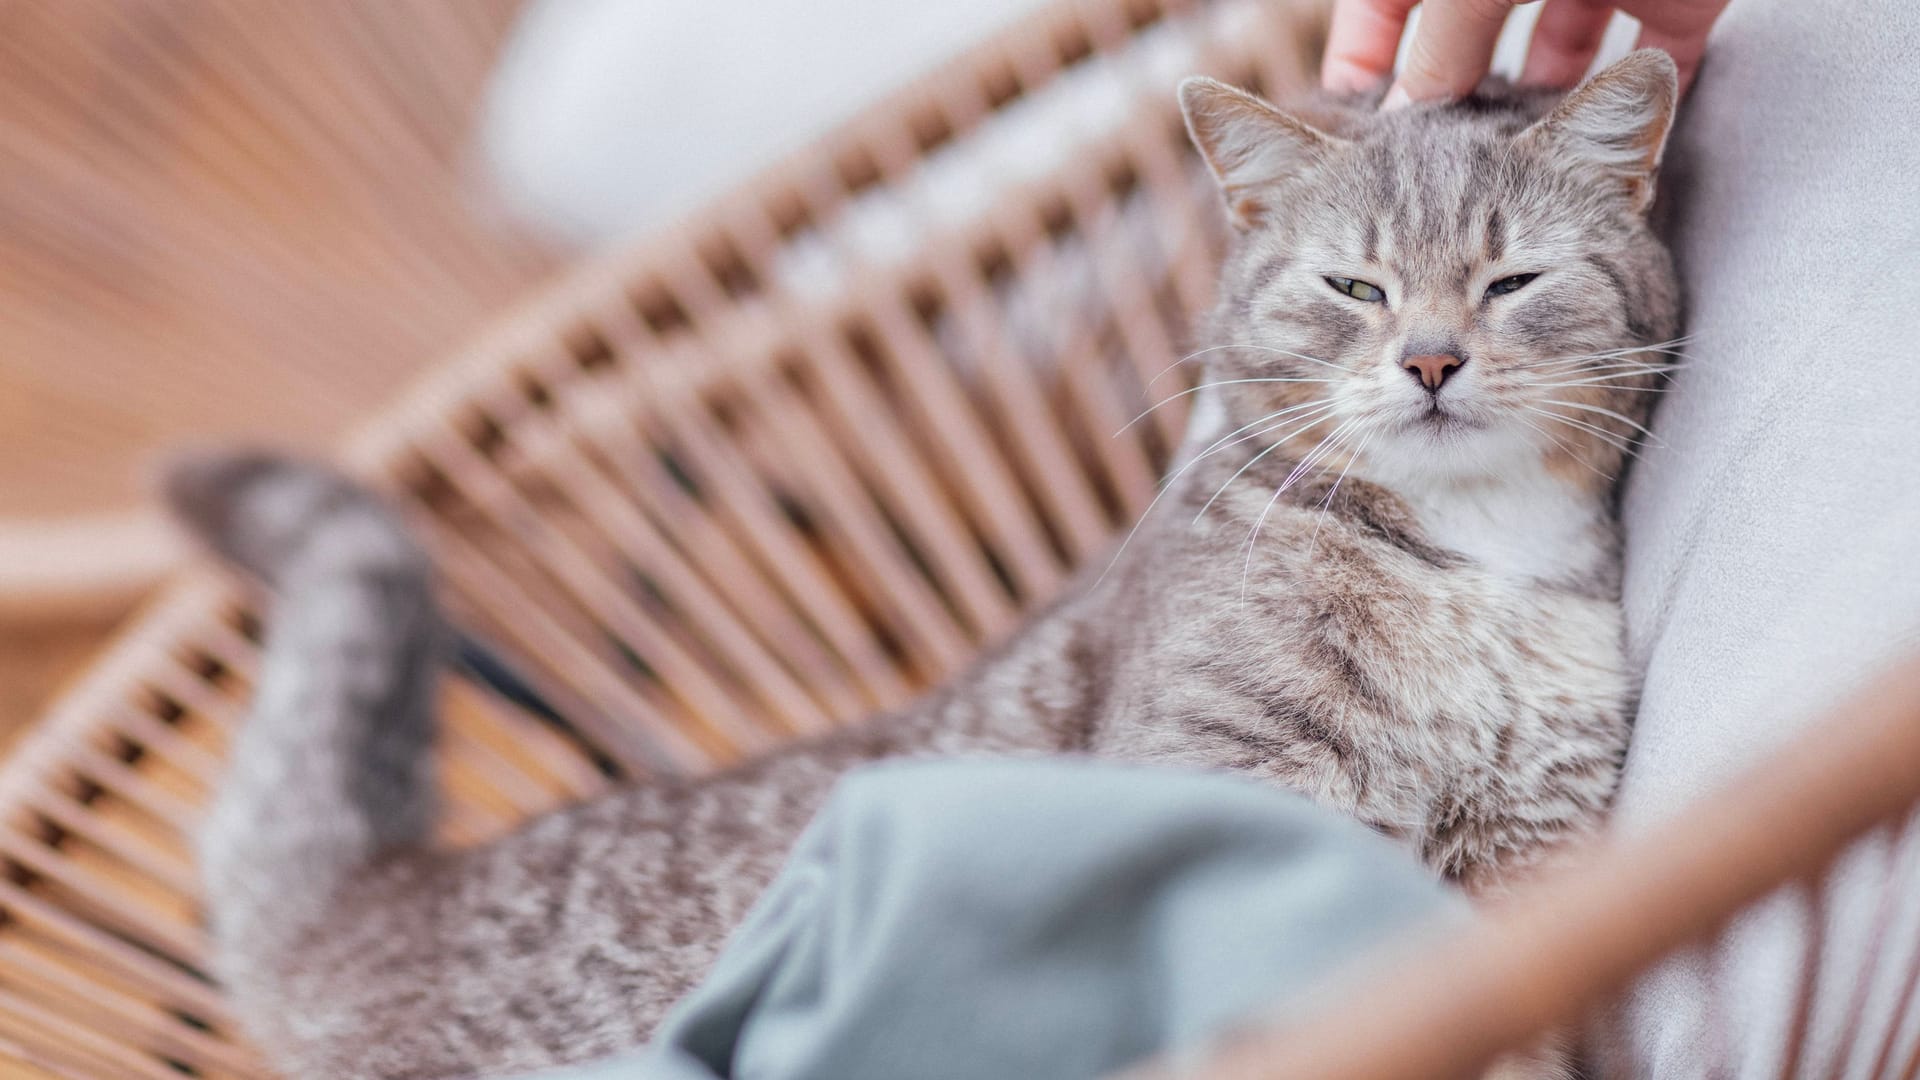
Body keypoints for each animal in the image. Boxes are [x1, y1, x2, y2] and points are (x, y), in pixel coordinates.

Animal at [172, 52, 1689, 1076]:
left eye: (1511, 282)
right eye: (1356, 289)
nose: (1430, 361)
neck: (1472, 554)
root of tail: (388, 889)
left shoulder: (1529, 877)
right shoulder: (1242, 804)